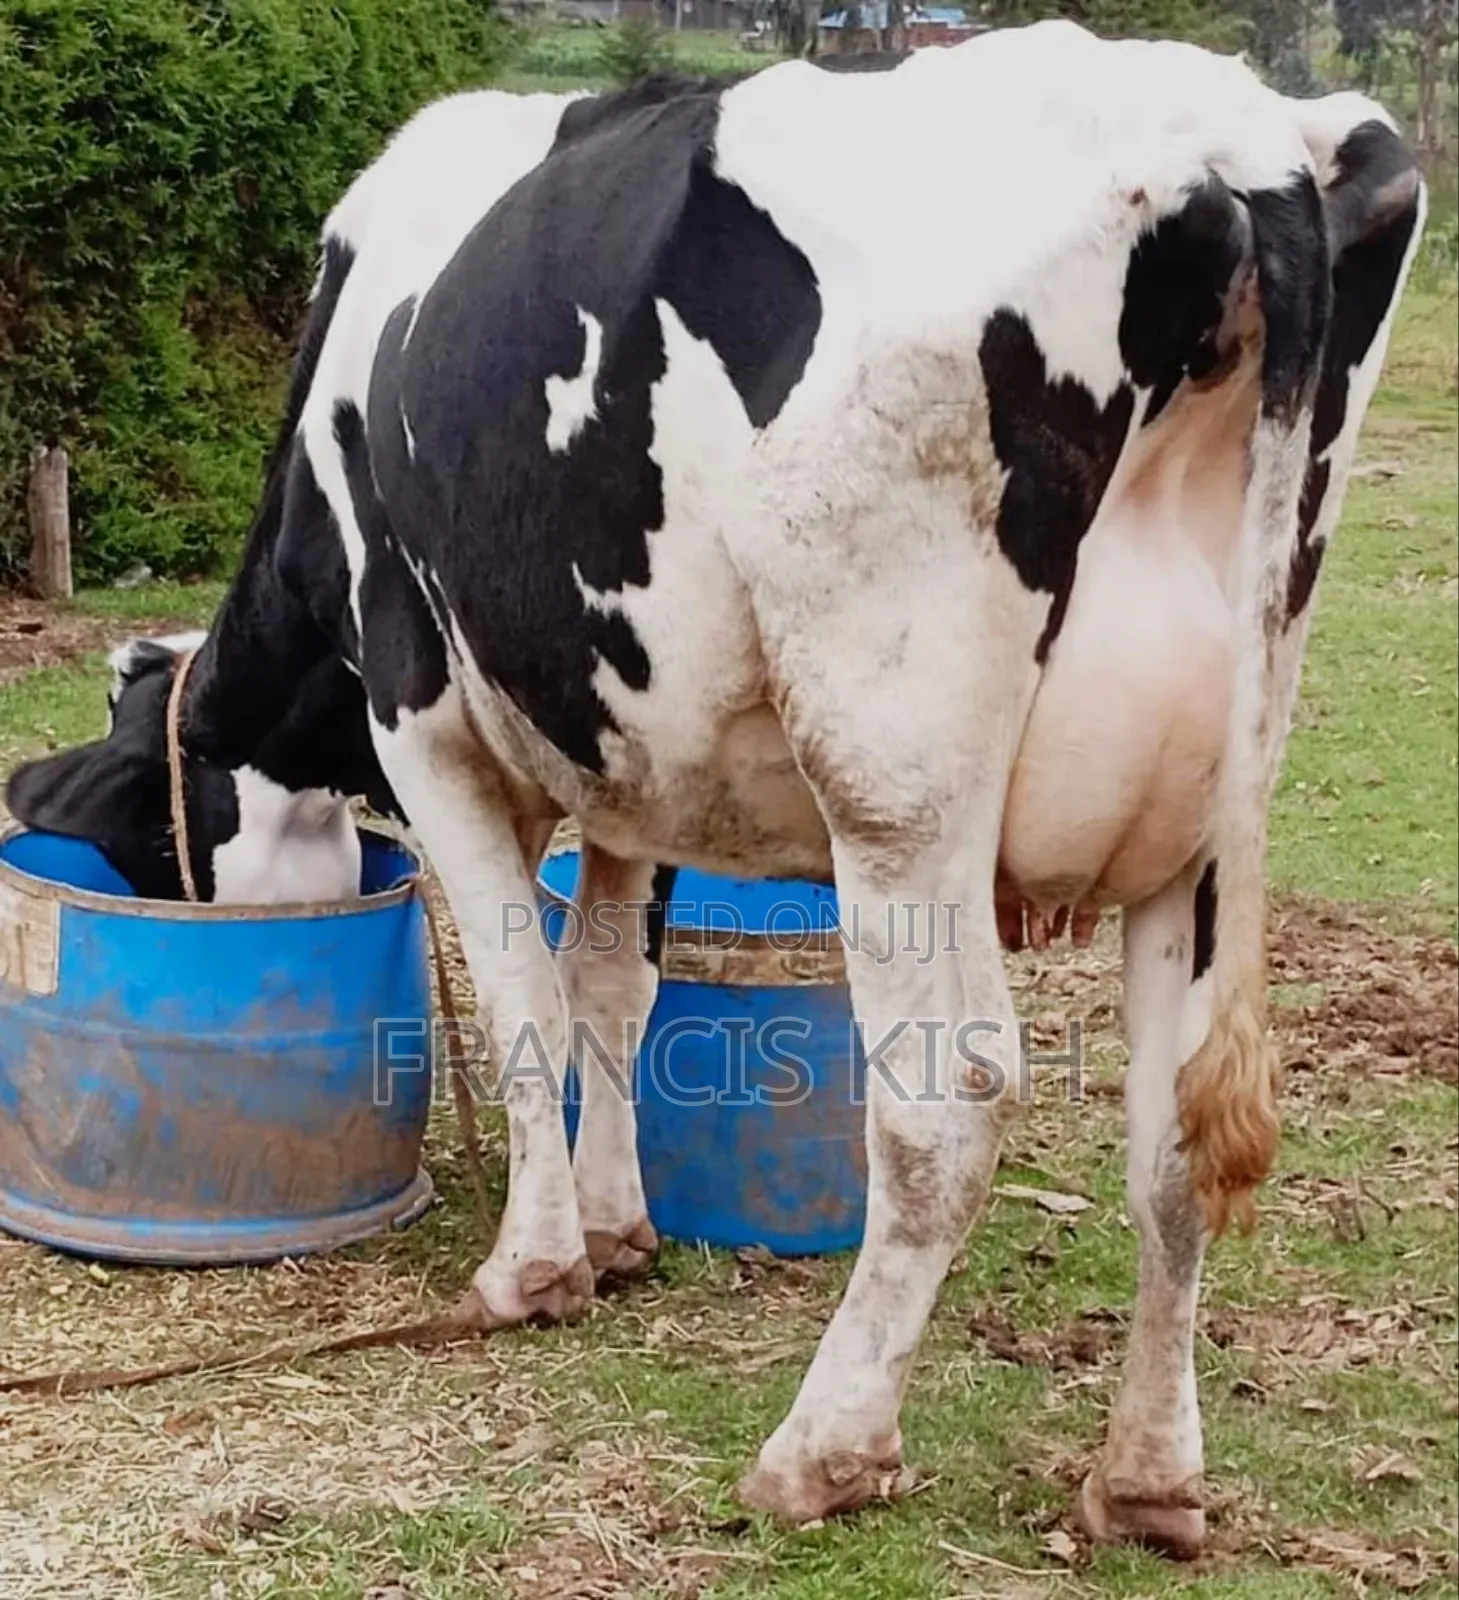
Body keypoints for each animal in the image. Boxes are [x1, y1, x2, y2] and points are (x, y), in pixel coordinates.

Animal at [6, 23, 1425, 1549]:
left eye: (164, 839)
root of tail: (1235, 139)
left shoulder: (424, 722)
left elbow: (521, 1002)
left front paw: (535, 1268)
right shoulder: (636, 759)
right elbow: (610, 987)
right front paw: (617, 1228)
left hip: (895, 772)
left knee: (945, 1097)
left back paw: (825, 1448)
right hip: (1213, 802)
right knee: (1170, 1133)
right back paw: (1147, 1480)